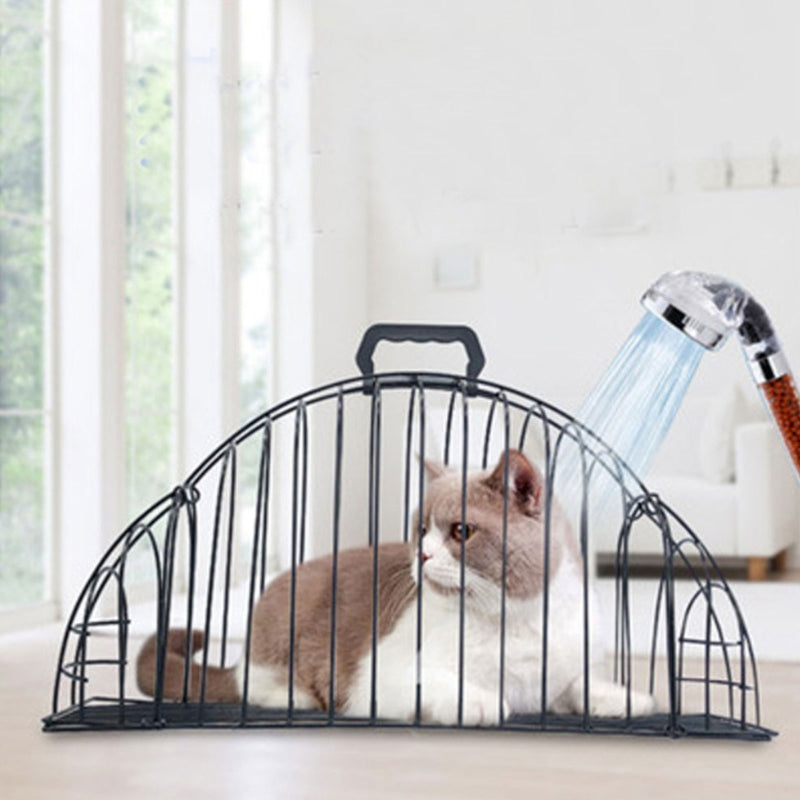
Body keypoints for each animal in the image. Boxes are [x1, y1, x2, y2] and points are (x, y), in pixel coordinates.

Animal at [138, 450, 652, 724]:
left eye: (461, 531)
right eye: (420, 529)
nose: (421, 555)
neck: (518, 621)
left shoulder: (560, 669)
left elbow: (578, 683)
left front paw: (624, 697)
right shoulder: (381, 674)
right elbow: (443, 681)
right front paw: (483, 702)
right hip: (284, 625)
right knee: (252, 680)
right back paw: (294, 695)